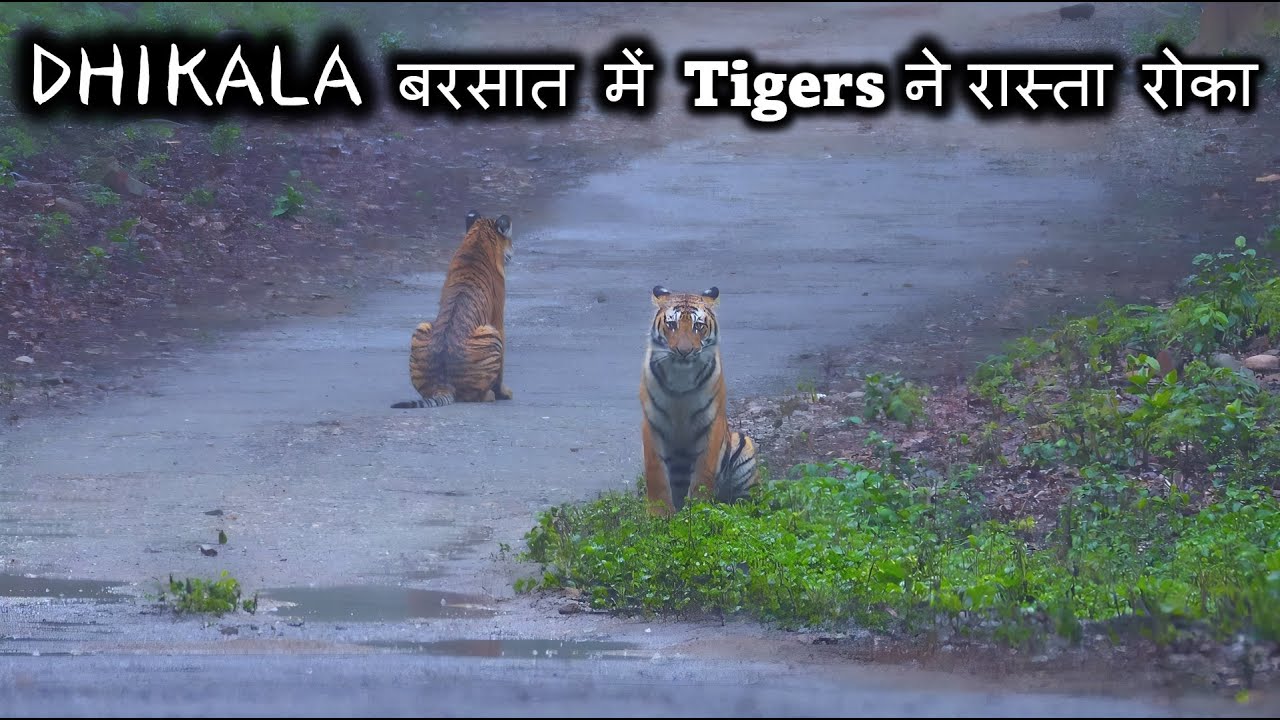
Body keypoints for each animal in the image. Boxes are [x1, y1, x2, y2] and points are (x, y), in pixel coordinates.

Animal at [391, 210, 515, 409]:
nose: (514, 249)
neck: (478, 239)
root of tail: (443, 384)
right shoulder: (498, 320)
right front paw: (504, 393)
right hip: (491, 334)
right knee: (477, 396)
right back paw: (490, 395)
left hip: (422, 326)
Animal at [639, 285, 760, 517]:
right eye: (672, 324)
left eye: (698, 326)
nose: (684, 352)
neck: (681, 379)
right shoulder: (652, 422)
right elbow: (655, 473)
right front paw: (658, 515)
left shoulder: (711, 423)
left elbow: (703, 474)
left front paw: (698, 512)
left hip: (743, 444)